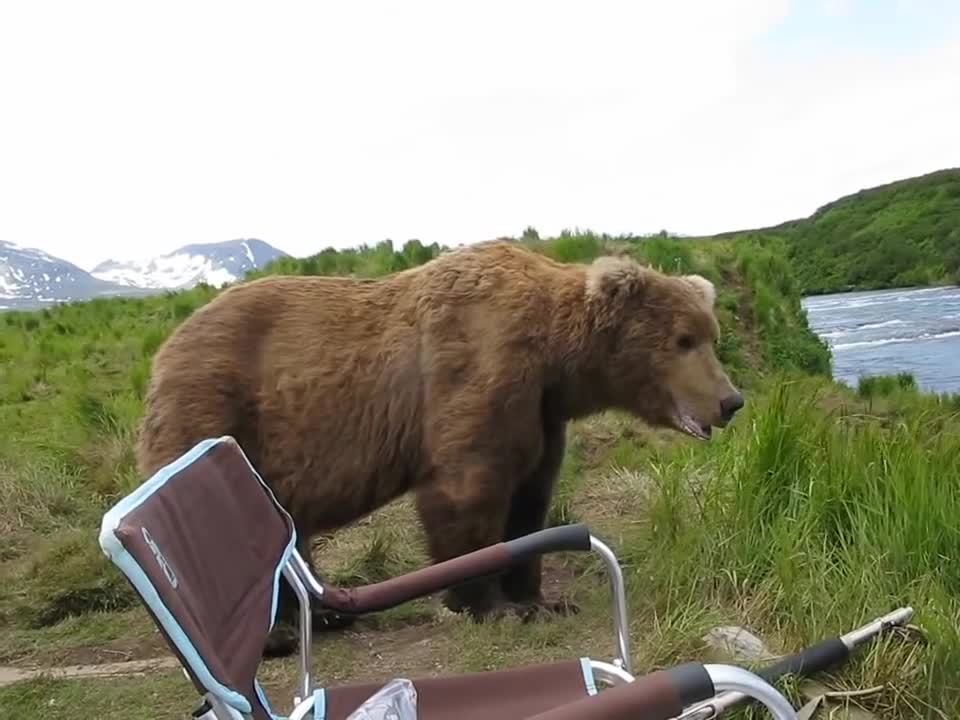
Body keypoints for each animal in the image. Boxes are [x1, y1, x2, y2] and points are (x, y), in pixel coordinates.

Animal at [134, 239, 744, 657]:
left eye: (710, 335)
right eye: (683, 340)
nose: (730, 400)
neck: (557, 358)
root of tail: (164, 348)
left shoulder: (542, 414)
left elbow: (530, 498)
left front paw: (541, 599)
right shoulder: (476, 370)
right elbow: (468, 490)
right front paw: (487, 605)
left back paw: (326, 614)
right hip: (217, 413)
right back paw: (277, 635)